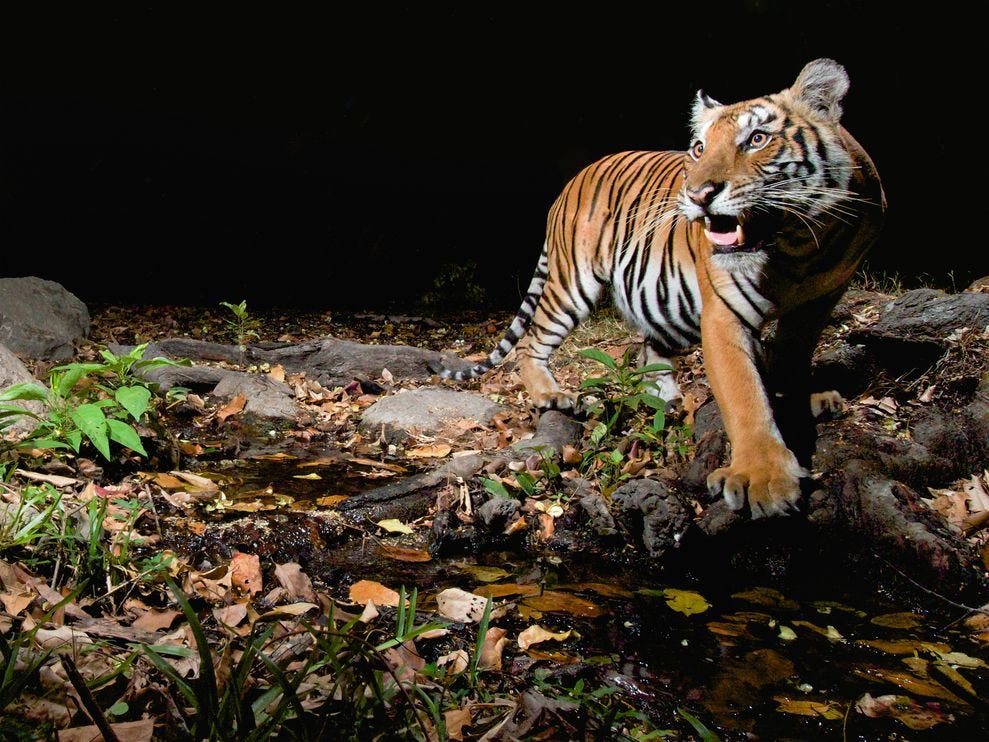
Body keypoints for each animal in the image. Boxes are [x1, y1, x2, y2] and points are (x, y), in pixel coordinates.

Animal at [431, 58, 885, 518]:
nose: (698, 194)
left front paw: (801, 401)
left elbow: (793, 357)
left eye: (757, 139)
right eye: (699, 148)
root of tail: (573, 180)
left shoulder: (820, 300)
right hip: (573, 283)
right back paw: (551, 395)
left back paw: (667, 401)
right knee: (533, 340)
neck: (797, 247)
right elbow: (743, 394)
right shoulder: (724, 312)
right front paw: (763, 477)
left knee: (650, 350)